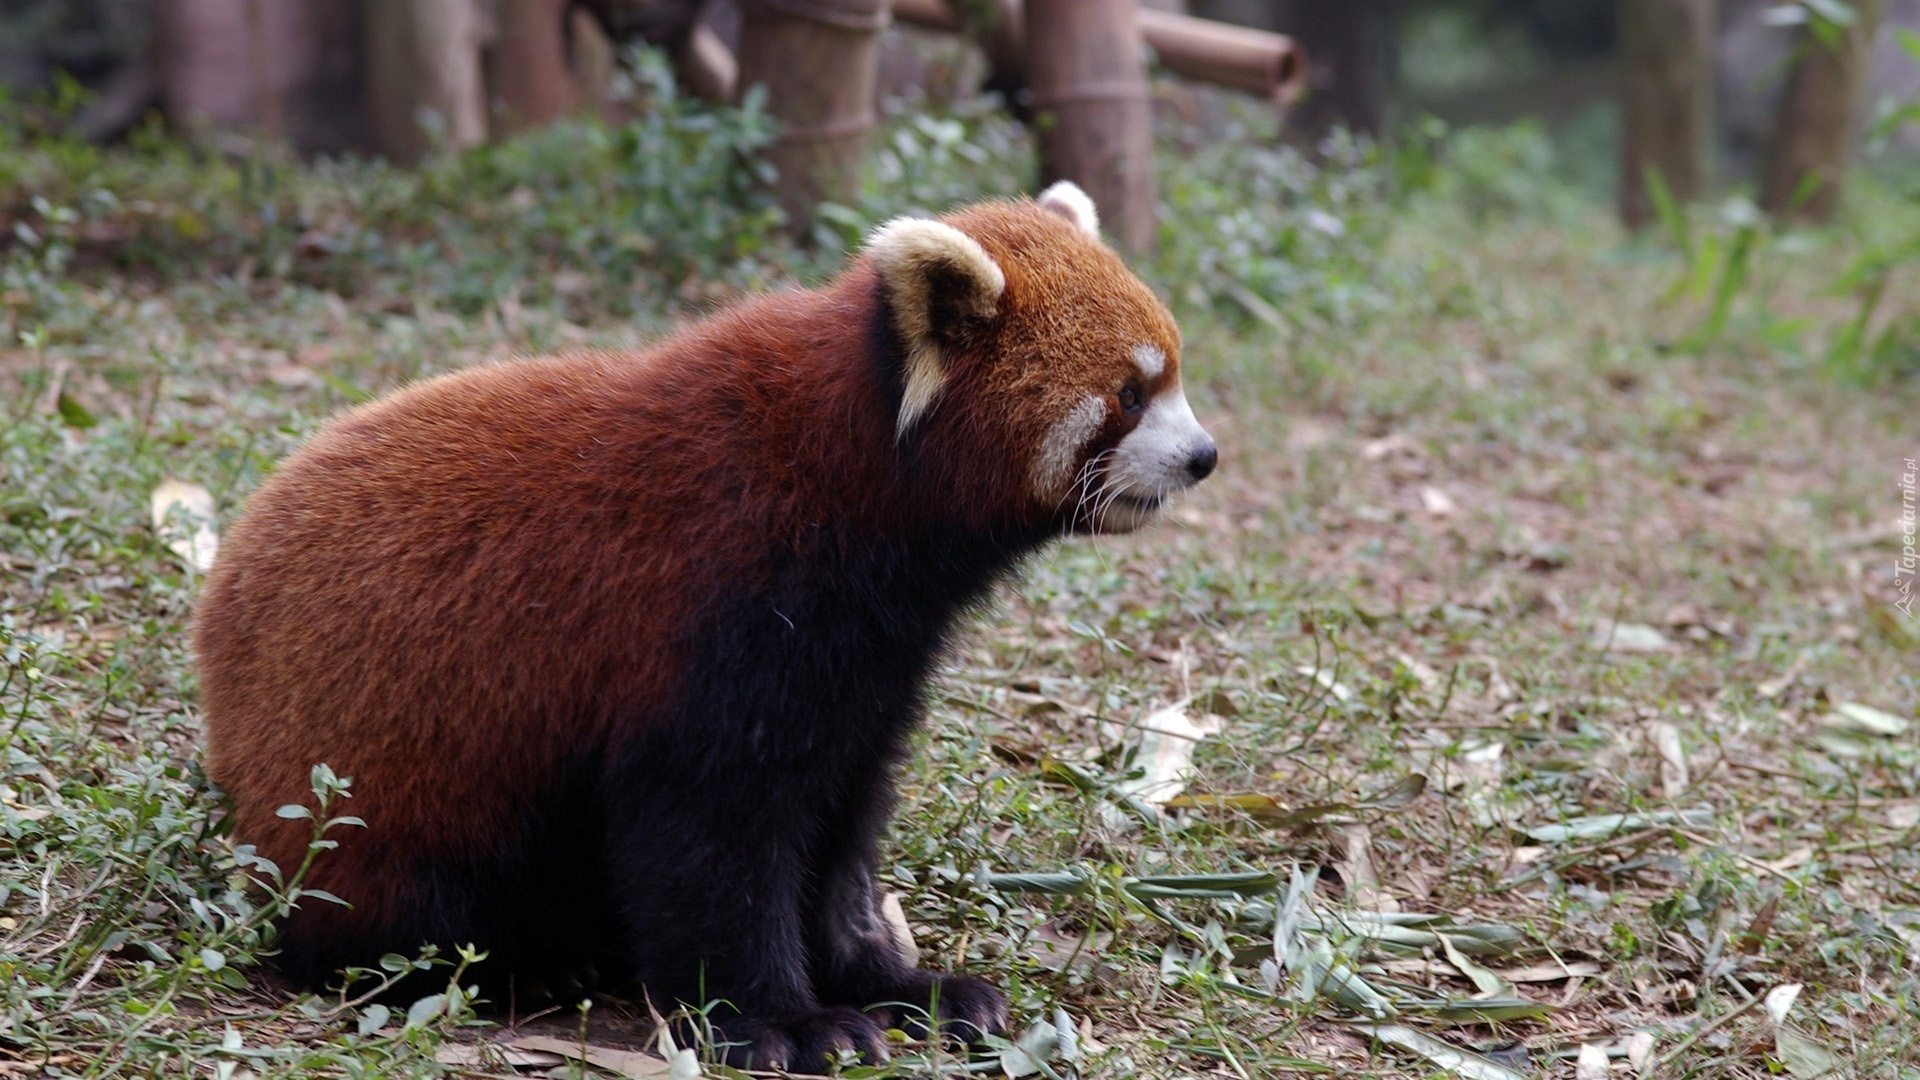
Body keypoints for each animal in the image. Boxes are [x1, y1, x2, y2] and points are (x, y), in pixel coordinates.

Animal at [194, 180, 1213, 1060]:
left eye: (1174, 375)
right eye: (1129, 394)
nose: (1203, 456)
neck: (856, 489)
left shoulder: (870, 663)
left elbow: (841, 833)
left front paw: (899, 985)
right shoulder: (709, 612)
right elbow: (711, 843)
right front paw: (786, 1023)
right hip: (383, 792)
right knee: (404, 908)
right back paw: (525, 966)